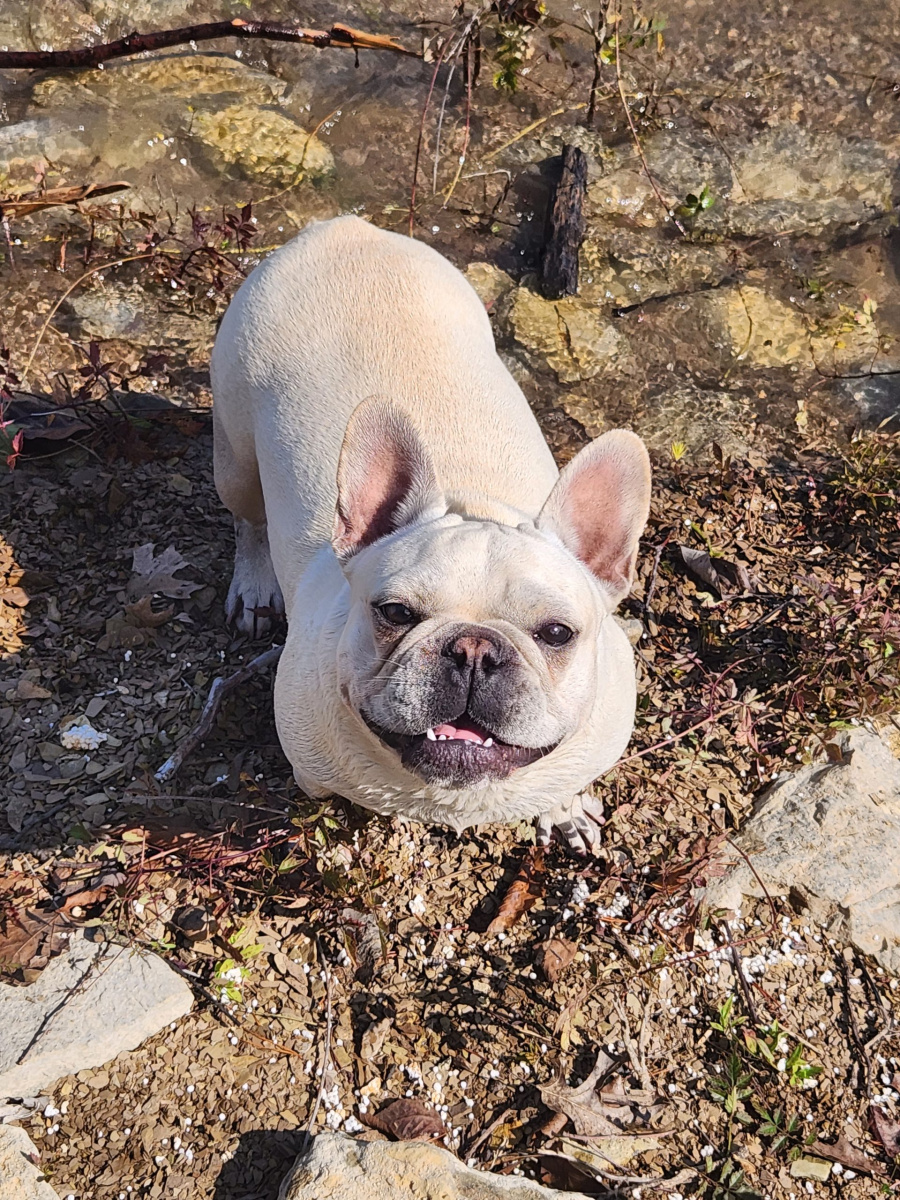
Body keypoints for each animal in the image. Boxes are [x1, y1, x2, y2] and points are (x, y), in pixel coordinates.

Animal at [211, 216, 650, 853]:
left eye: (557, 634)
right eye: (394, 613)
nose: (474, 650)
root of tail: (344, 229)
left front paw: (563, 808)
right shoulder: (310, 767)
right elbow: (323, 796)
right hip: (236, 456)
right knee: (248, 518)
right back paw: (254, 586)